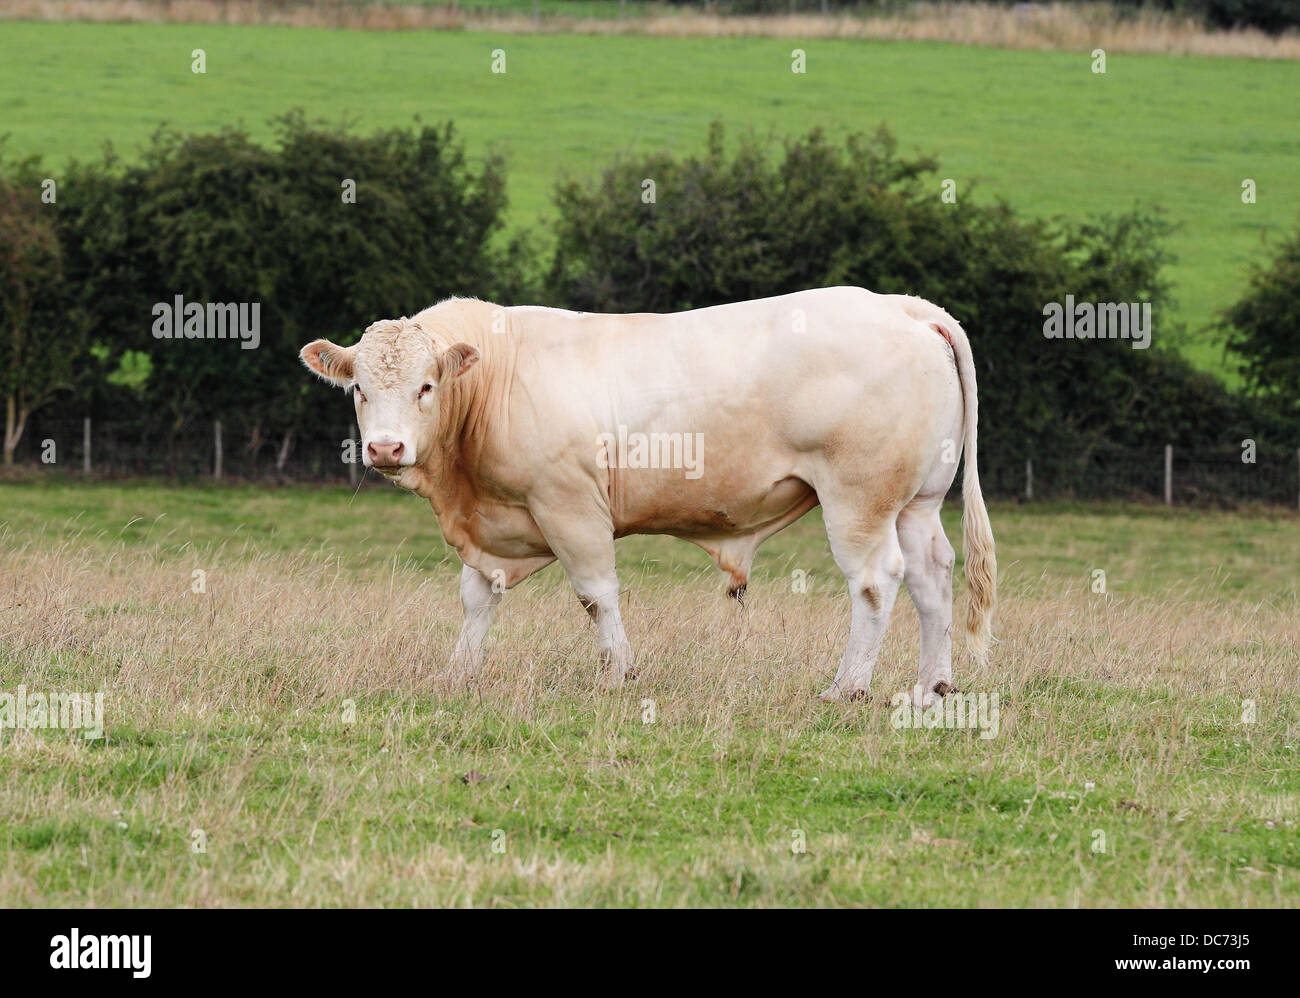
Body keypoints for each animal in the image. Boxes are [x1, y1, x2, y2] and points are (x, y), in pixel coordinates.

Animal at [301, 284, 993, 706]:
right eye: (360, 389)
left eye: (425, 386)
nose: (385, 449)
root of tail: (904, 307)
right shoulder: (502, 524)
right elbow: (478, 596)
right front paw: (458, 672)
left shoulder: (568, 504)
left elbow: (595, 593)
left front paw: (620, 672)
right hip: (916, 503)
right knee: (933, 577)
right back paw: (933, 686)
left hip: (860, 500)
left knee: (876, 582)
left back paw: (847, 687)